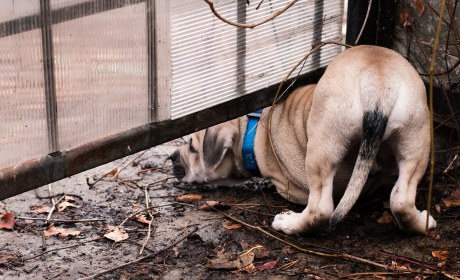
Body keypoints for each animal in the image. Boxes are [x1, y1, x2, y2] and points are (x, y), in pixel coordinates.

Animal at [171, 45, 436, 234]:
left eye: (192, 148)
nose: (172, 156)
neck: (253, 129)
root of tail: (378, 79)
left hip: (322, 146)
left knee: (321, 209)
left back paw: (289, 224)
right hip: (417, 138)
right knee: (401, 200)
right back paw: (423, 222)